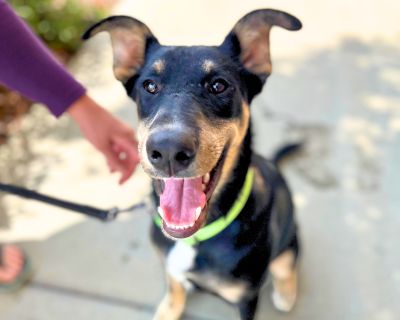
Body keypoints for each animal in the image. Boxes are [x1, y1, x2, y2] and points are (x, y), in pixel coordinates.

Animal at [85, 8, 304, 318]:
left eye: (219, 85)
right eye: (149, 86)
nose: (167, 151)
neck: (193, 239)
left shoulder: (246, 296)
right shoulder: (170, 268)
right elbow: (174, 287)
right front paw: (169, 308)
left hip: (290, 239)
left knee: (287, 264)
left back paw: (286, 293)